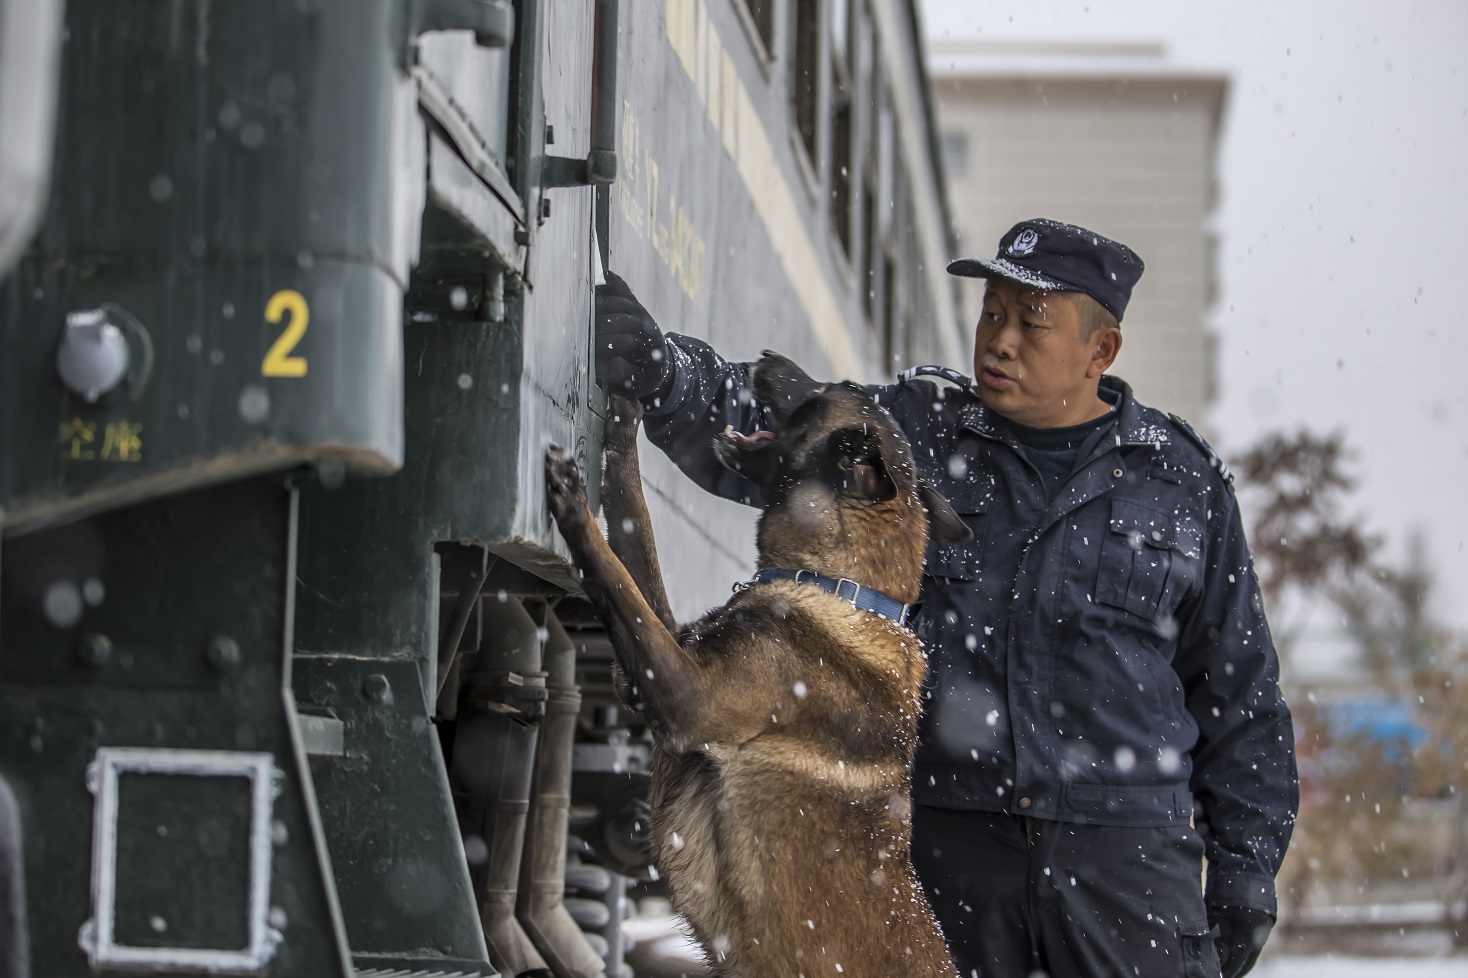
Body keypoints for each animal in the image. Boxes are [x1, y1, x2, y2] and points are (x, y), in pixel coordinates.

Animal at [546, 352, 968, 975]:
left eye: (829, 389)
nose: (768, 358)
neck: (834, 587)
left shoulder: (685, 696)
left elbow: (614, 575)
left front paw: (573, 503)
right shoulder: (657, 661)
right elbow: (633, 522)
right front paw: (629, 398)